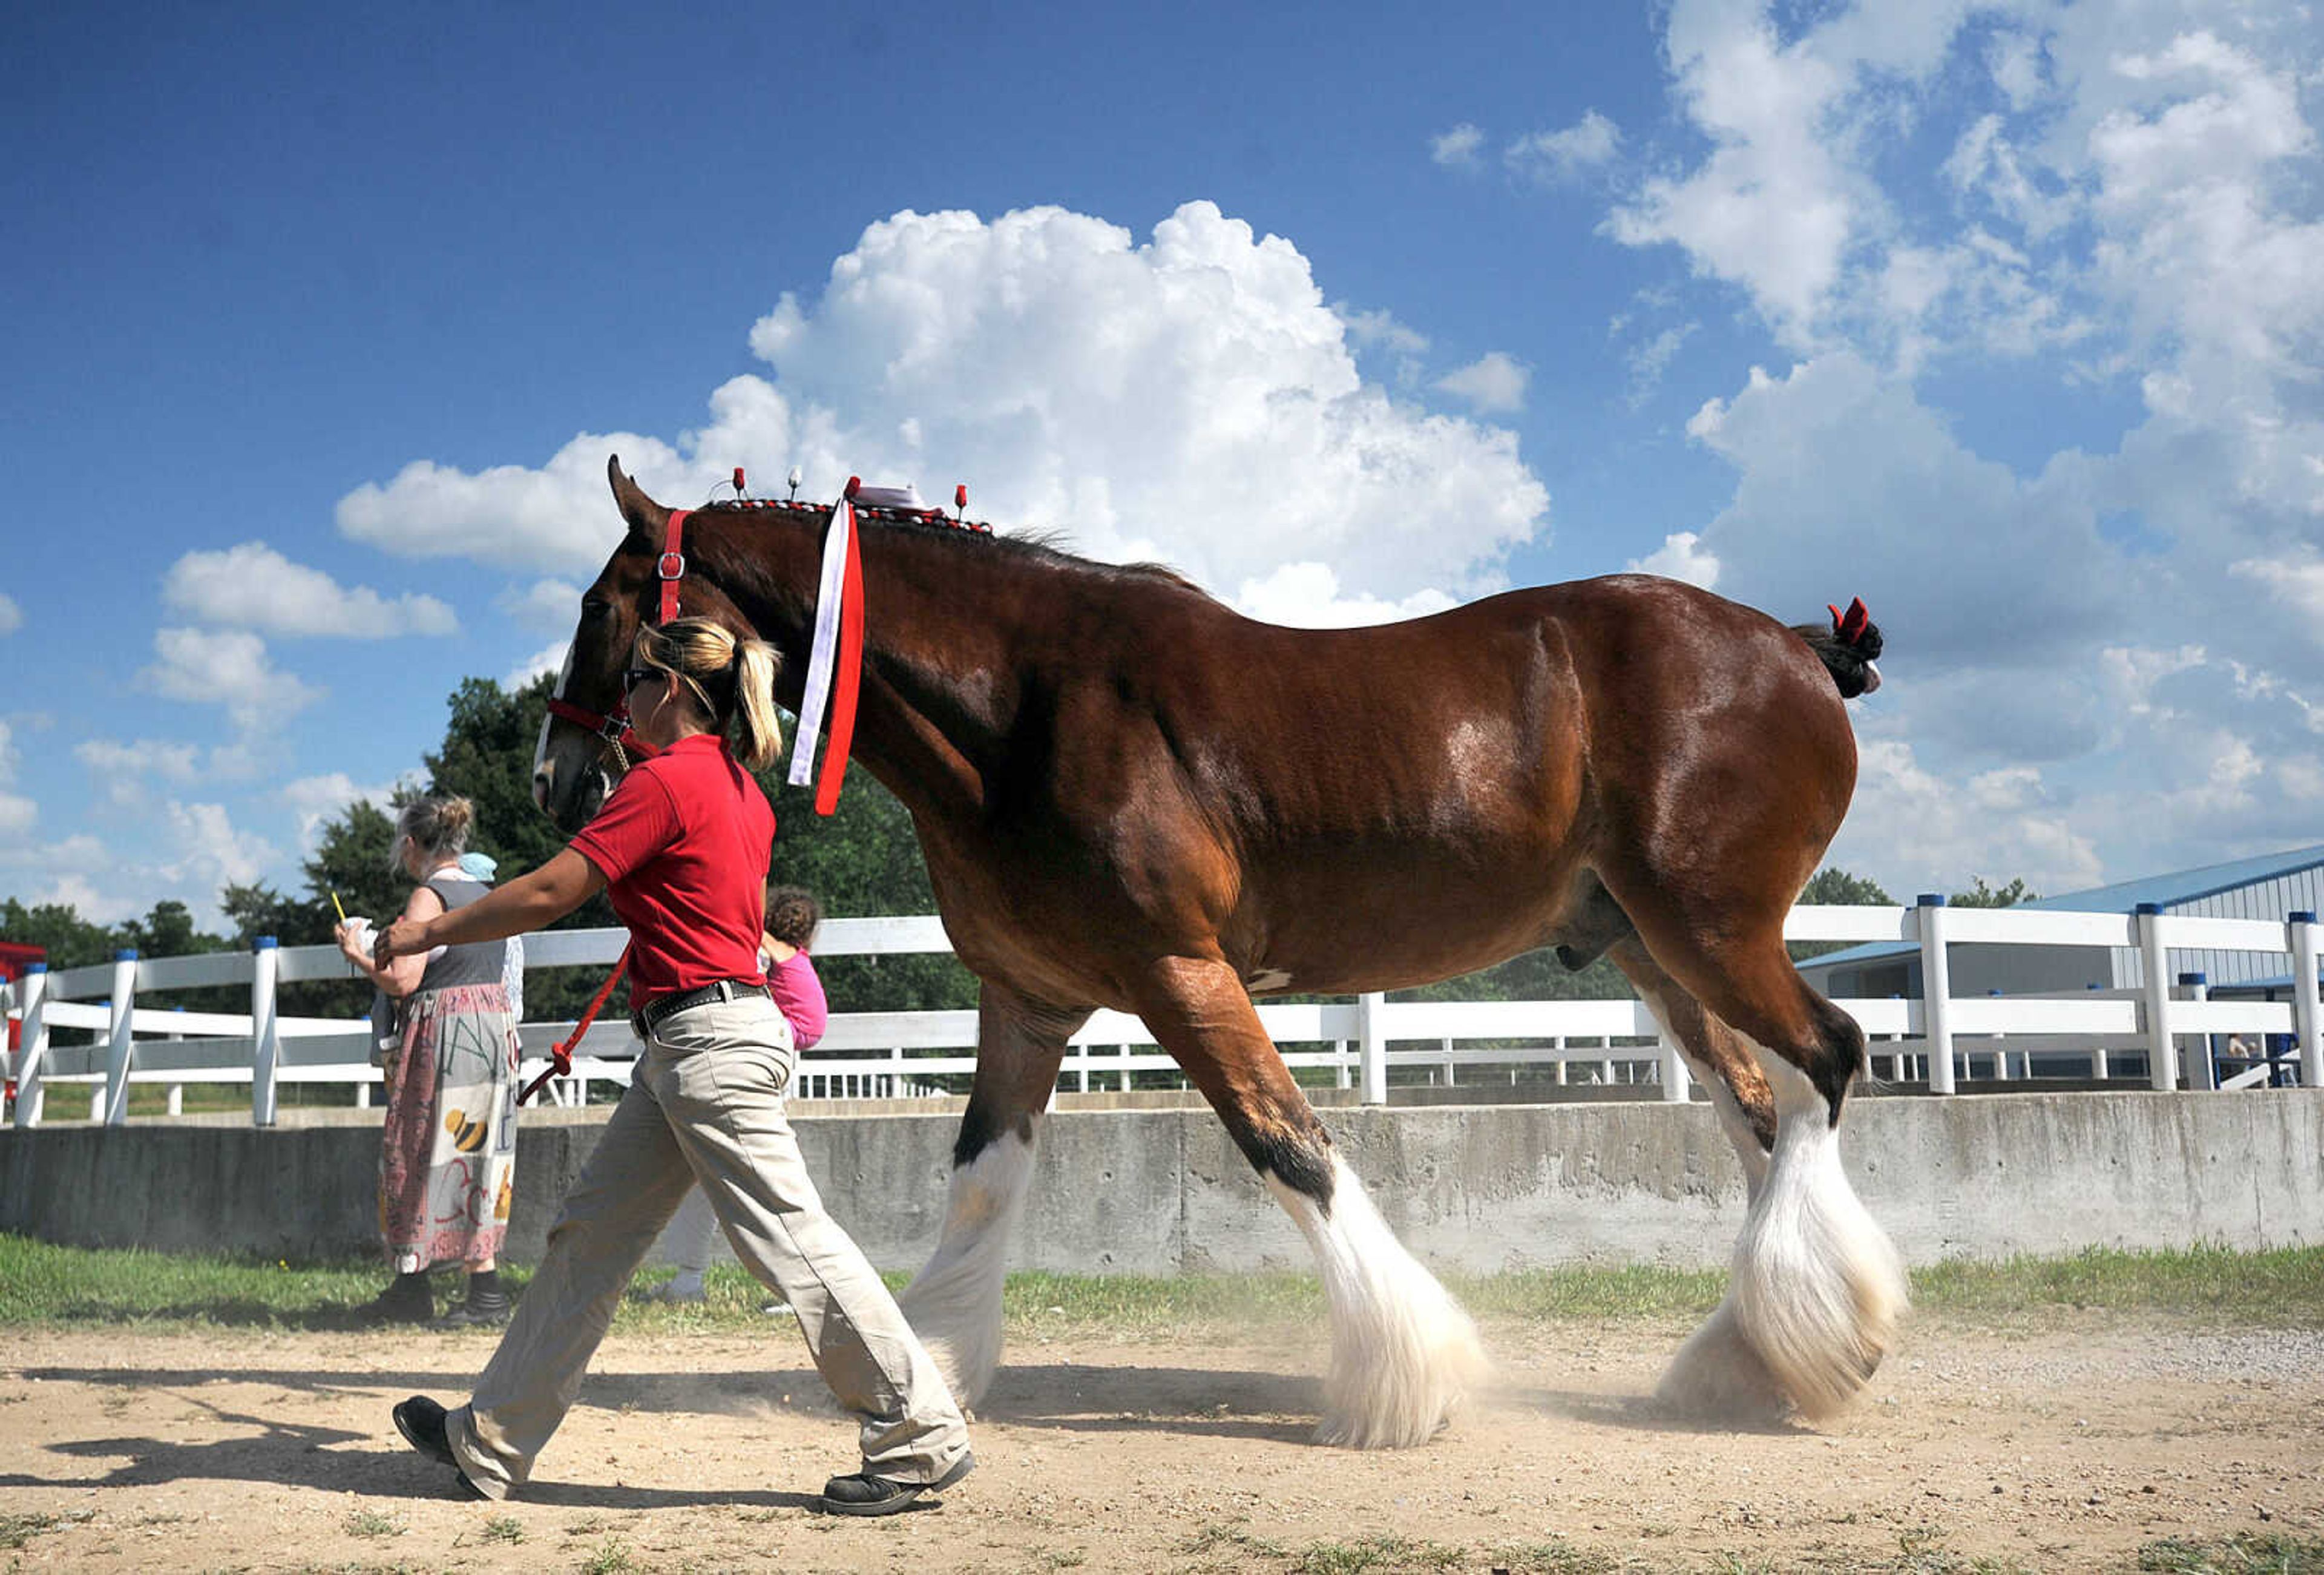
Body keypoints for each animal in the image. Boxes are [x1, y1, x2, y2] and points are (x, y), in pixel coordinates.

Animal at [532, 453, 1905, 1440]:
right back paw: (1755, 1357)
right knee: (1761, 1112)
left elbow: (1288, 1145)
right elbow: (982, 1173)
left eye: (602, 605)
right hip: (1657, 955)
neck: (1025, 704)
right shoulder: (1029, 997)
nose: (557, 779)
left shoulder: (1177, 970)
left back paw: (1817, 1341)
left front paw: (1408, 1378)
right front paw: (939, 1362)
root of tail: (1797, 645)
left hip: (1710, 930)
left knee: (1827, 1060)